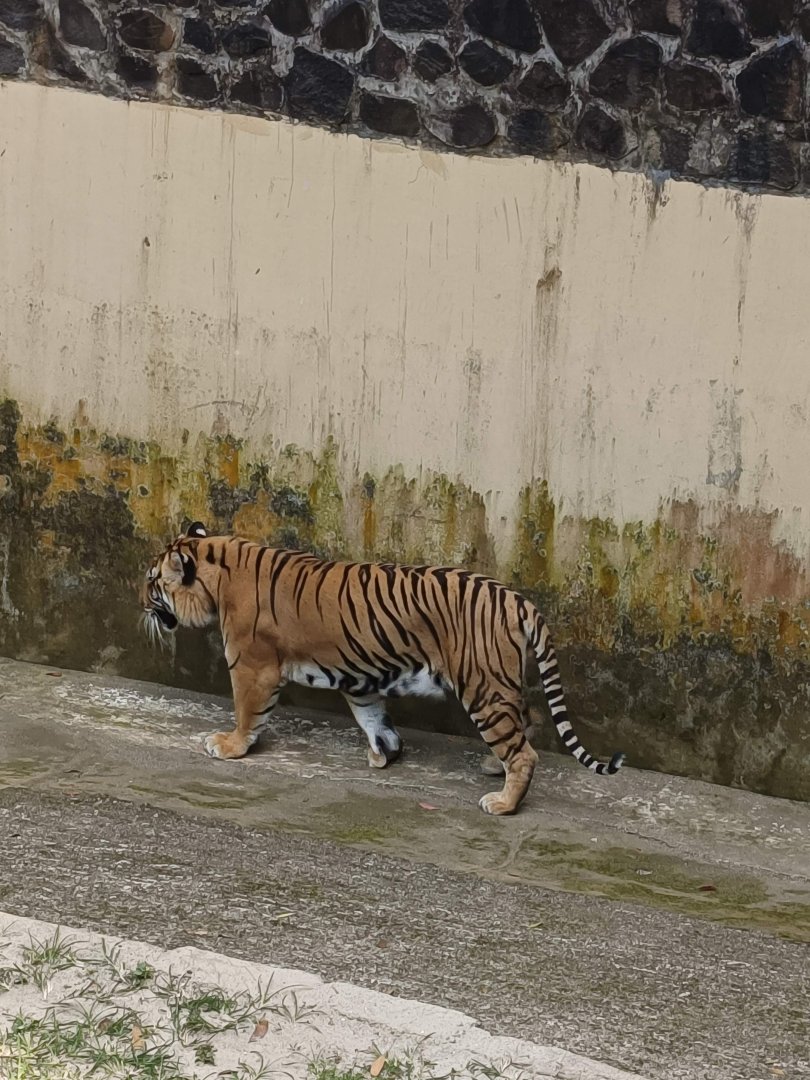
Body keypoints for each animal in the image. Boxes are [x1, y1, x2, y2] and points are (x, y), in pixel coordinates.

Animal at [141, 522, 625, 815]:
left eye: (152, 583)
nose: (139, 602)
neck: (215, 564)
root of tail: (518, 598)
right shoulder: (359, 675)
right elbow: (372, 716)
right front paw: (385, 753)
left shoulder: (251, 664)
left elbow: (247, 712)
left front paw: (230, 745)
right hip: (500, 683)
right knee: (528, 720)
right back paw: (494, 765)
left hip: (483, 687)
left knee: (523, 750)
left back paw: (503, 801)